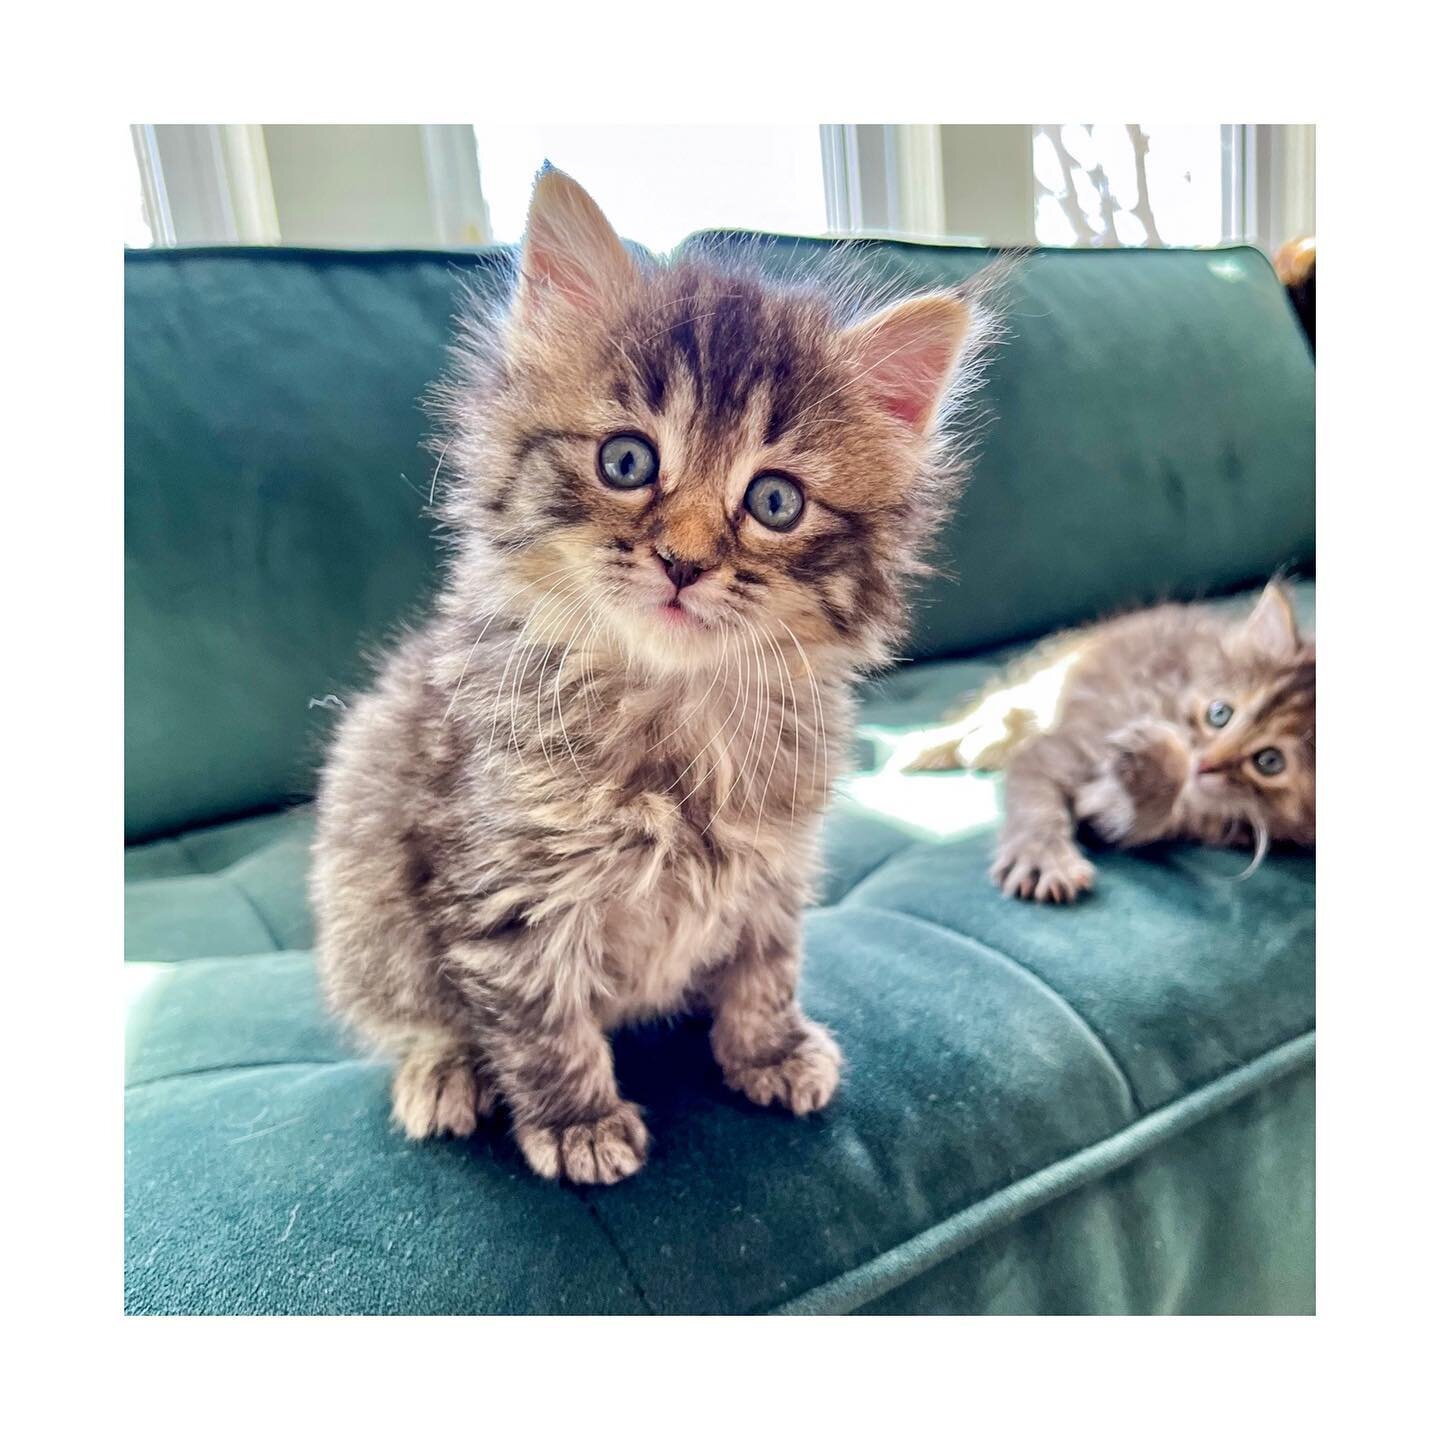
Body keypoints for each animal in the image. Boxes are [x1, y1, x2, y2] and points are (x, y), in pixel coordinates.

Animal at [313, 168, 984, 1180]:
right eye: (626, 461)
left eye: (774, 501)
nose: (683, 562)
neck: (676, 713)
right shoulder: (507, 882)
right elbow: (541, 1015)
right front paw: (577, 1120)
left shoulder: (774, 866)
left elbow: (765, 968)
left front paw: (766, 1050)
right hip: (364, 907)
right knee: (411, 1015)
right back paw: (444, 1073)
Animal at [898, 581, 1319, 898]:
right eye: (1220, 714)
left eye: (1269, 761)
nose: (1204, 762)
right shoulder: (1063, 745)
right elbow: (1036, 805)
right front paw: (1042, 859)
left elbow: (1126, 816)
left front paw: (1155, 765)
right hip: (1044, 677)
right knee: (993, 706)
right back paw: (932, 746)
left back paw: (984, 745)